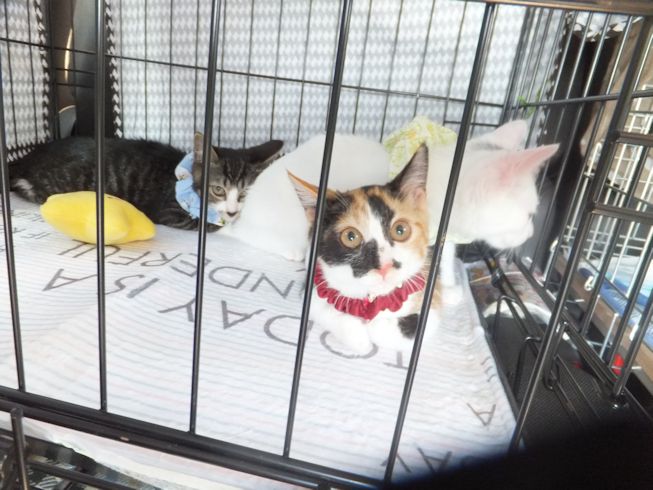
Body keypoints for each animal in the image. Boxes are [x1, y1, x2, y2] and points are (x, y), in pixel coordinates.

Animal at [9, 133, 283, 231]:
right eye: (218, 189)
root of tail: (27, 158)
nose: (233, 210)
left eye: (244, 193)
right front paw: (224, 223)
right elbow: (207, 224)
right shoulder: (170, 212)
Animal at [289, 145, 440, 353]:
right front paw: (359, 337)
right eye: (350, 237)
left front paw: (374, 325)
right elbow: (323, 309)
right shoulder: (313, 285)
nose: (384, 267)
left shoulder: (429, 306)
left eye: (400, 230)